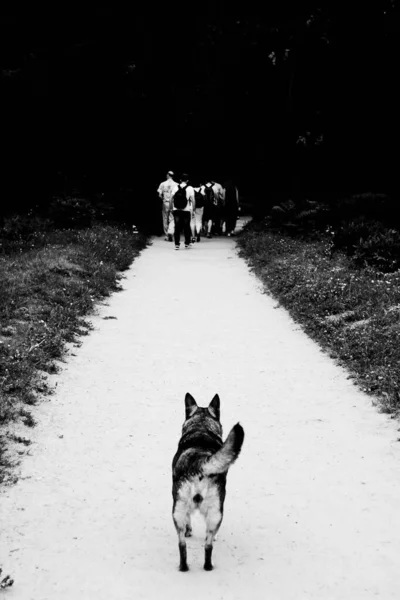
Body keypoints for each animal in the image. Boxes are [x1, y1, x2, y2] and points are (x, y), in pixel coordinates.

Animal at [171, 394, 244, 572]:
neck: (201, 427)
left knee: (187, 545)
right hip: (215, 512)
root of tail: (200, 464)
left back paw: (191, 567)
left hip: (182, 510)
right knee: (204, 544)